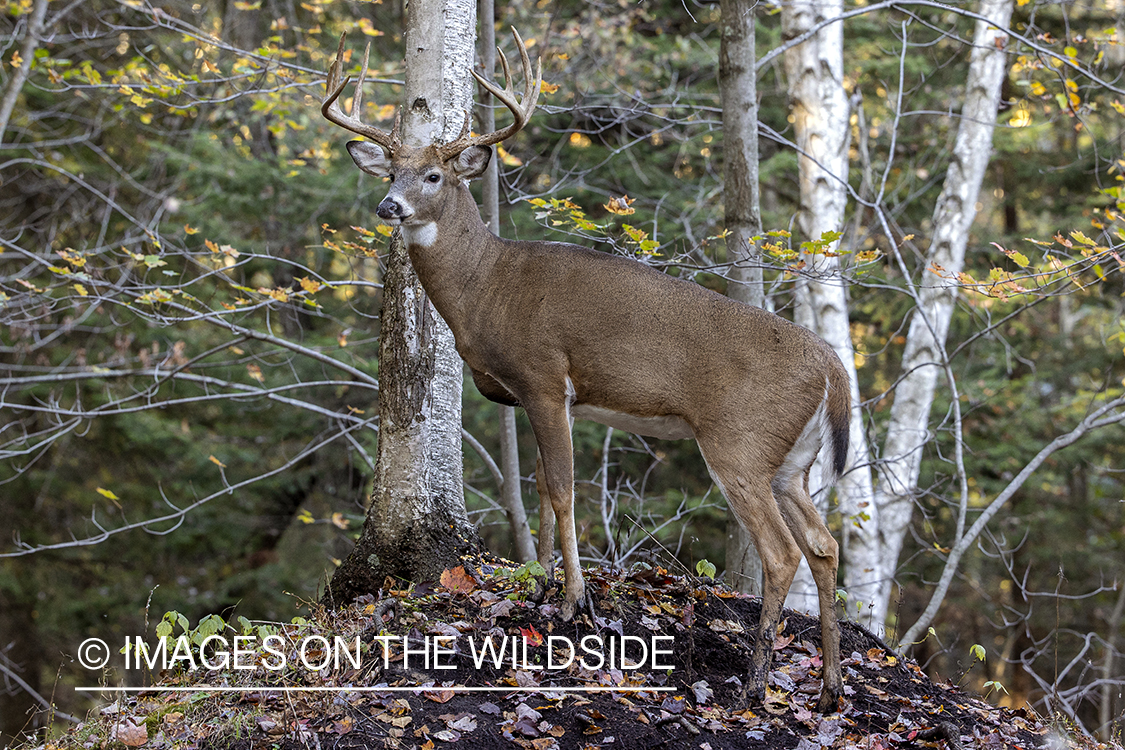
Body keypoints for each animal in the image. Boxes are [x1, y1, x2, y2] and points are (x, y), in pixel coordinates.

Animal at [326, 27, 850, 710]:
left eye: (434, 174)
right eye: (391, 170)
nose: (389, 205)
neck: (486, 288)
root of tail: (834, 369)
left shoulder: (546, 376)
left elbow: (564, 491)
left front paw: (576, 600)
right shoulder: (535, 396)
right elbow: (542, 492)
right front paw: (540, 583)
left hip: (739, 441)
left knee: (782, 552)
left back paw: (754, 686)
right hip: (792, 462)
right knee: (824, 545)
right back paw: (830, 691)